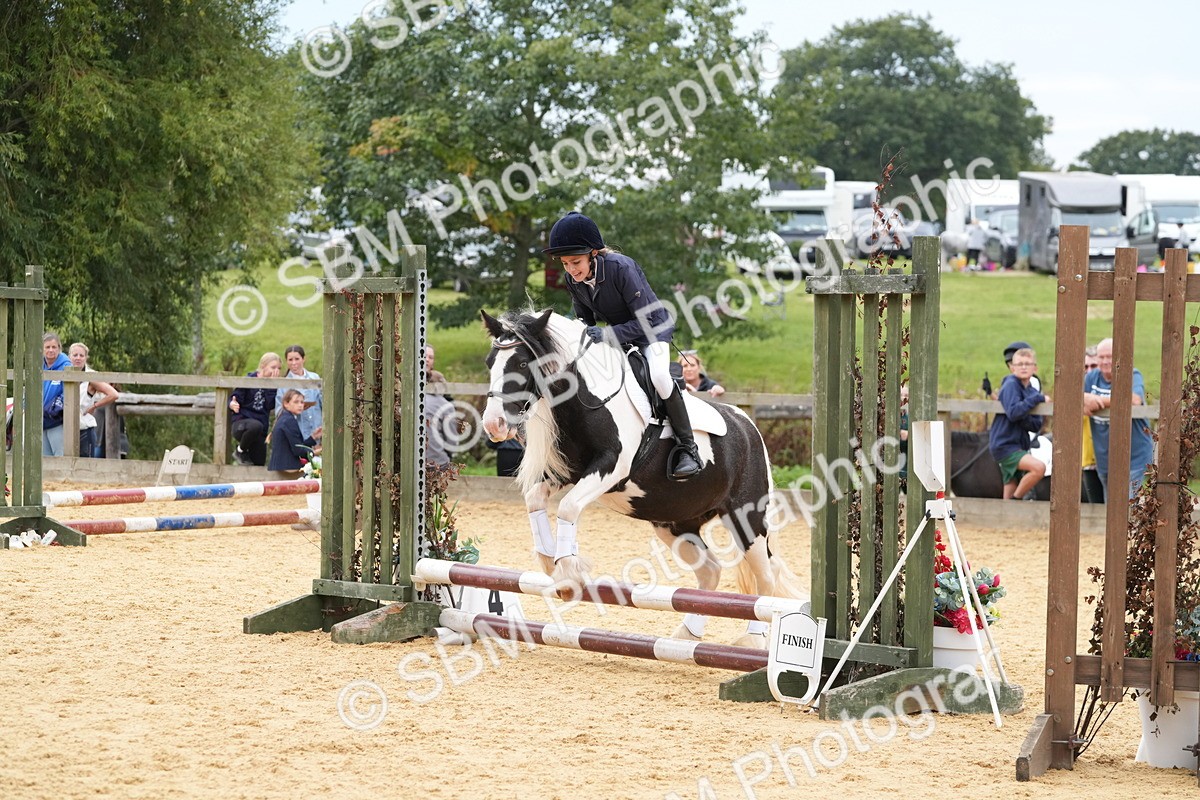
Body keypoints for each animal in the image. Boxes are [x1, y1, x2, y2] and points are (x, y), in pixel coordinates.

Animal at [479, 308, 806, 645]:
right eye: (490, 363)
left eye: (521, 364)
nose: (493, 425)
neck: (587, 397)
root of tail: (748, 425)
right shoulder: (570, 472)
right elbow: (535, 499)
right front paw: (549, 562)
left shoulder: (611, 467)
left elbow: (568, 507)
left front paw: (568, 571)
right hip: (675, 524)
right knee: (710, 571)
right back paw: (686, 635)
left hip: (746, 519)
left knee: (766, 577)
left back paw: (753, 639)